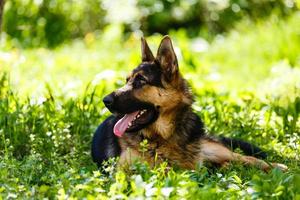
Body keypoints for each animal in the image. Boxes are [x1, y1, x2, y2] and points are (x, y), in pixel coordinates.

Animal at [92, 36, 288, 172]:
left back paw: (278, 166)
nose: (105, 101)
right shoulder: (123, 171)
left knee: (244, 157)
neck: (164, 136)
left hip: (214, 150)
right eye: (126, 80)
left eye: (141, 81)